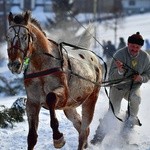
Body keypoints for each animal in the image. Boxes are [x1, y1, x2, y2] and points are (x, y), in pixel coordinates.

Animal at [5, 10, 102, 150]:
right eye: (7, 37)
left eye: (24, 36)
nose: (14, 64)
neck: (41, 66)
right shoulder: (32, 102)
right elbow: (32, 137)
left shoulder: (63, 94)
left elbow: (50, 98)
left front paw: (58, 137)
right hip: (69, 107)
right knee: (80, 127)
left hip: (90, 99)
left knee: (84, 130)